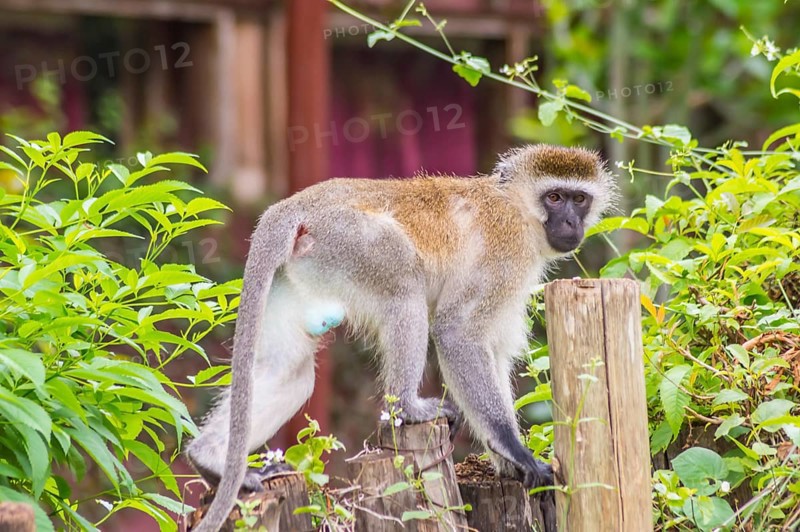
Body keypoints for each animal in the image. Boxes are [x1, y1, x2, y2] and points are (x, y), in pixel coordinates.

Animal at [187, 144, 616, 531]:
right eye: (555, 197)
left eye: (579, 199)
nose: (570, 223)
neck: (518, 209)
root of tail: (298, 202)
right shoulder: (505, 252)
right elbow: (457, 332)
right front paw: (515, 451)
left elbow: (494, 351)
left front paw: (507, 465)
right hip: (350, 240)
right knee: (404, 287)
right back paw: (407, 407)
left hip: (305, 269)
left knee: (289, 370)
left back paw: (208, 460)